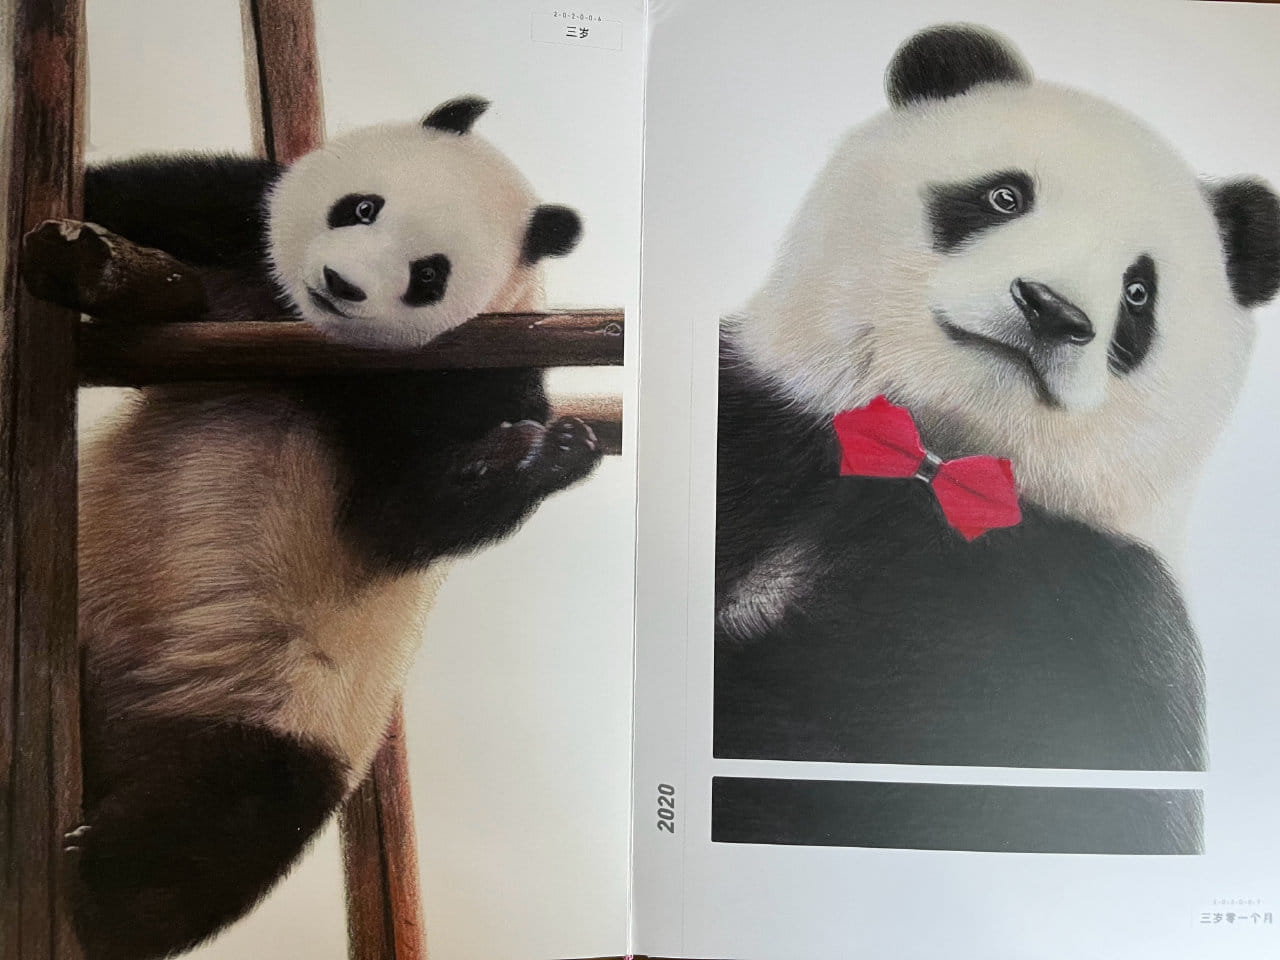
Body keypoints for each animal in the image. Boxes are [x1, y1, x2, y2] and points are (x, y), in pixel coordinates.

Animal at [22, 97, 600, 960]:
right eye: (360, 207)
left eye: (429, 273)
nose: (339, 284)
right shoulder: (235, 227)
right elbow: (125, 198)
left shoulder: (473, 368)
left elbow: (404, 520)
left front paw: (538, 454)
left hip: (290, 716)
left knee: (236, 812)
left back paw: (106, 887)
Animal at [714, 26, 1280, 779]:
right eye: (1005, 196)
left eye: (1138, 291)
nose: (1051, 310)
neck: (937, 457)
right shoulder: (764, 428)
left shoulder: (1100, 606)